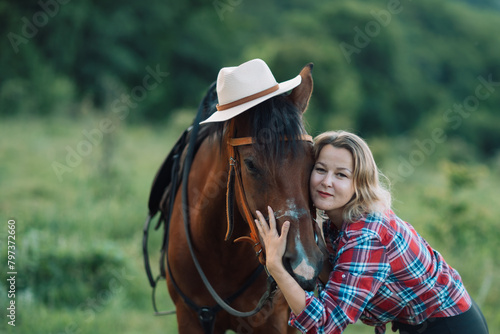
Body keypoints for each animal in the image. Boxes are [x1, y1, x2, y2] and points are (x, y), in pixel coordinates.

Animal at [148, 63, 324, 334]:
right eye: (250, 164)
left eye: (311, 159)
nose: (302, 263)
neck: (221, 254)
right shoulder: (190, 317)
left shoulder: (272, 320)